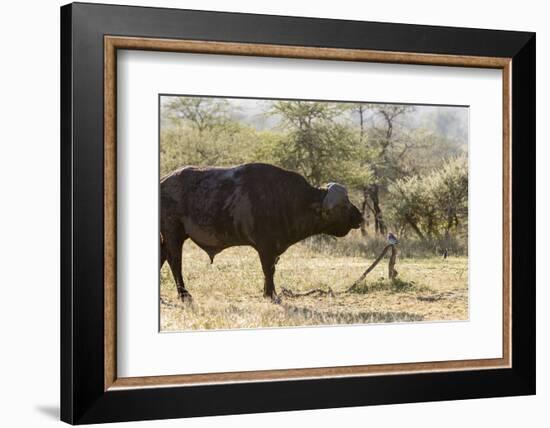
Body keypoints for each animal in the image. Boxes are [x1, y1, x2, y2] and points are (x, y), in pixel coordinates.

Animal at [162, 163, 364, 300]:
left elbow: (271, 270)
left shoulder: (273, 249)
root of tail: (163, 182)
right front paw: (270, 294)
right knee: (175, 262)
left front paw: (269, 292)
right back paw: (184, 295)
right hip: (173, 233)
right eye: (343, 206)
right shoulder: (265, 247)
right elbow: (268, 269)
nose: (360, 217)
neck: (290, 200)